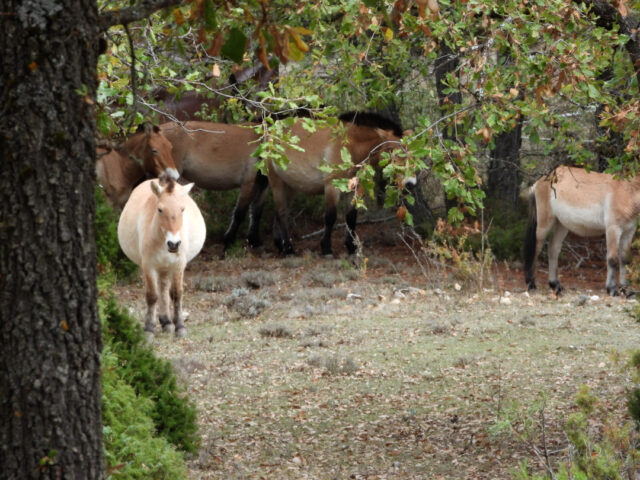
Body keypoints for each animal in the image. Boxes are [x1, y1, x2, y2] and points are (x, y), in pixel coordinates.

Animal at [117, 175, 206, 339]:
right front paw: (148, 329)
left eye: (182, 209)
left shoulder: (178, 265)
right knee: (161, 290)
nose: (174, 244)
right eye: (160, 210)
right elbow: (152, 296)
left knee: (165, 289)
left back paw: (167, 322)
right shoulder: (149, 266)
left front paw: (180, 327)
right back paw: (165, 321)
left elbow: (176, 294)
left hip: (166, 267)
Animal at [267, 112, 404, 256]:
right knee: (282, 213)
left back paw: (280, 245)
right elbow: (330, 216)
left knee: (279, 212)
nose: (406, 179)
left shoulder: (353, 188)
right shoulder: (332, 186)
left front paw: (351, 247)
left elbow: (351, 216)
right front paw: (326, 248)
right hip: (277, 182)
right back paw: (289, 249)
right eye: (391, 149)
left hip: (291, 186)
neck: (350, 146)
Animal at [524, 165, 640, 296]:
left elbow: (625, 260)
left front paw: (626, 289)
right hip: (545, 223)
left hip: (561, 225)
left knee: (553, 249)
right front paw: (612, 289)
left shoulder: (629, 231)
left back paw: (555, 285)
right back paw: (531, 284)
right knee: (536, 248)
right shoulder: (613, 229)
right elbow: (612, 259)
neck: (628, 192)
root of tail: (540, 181)